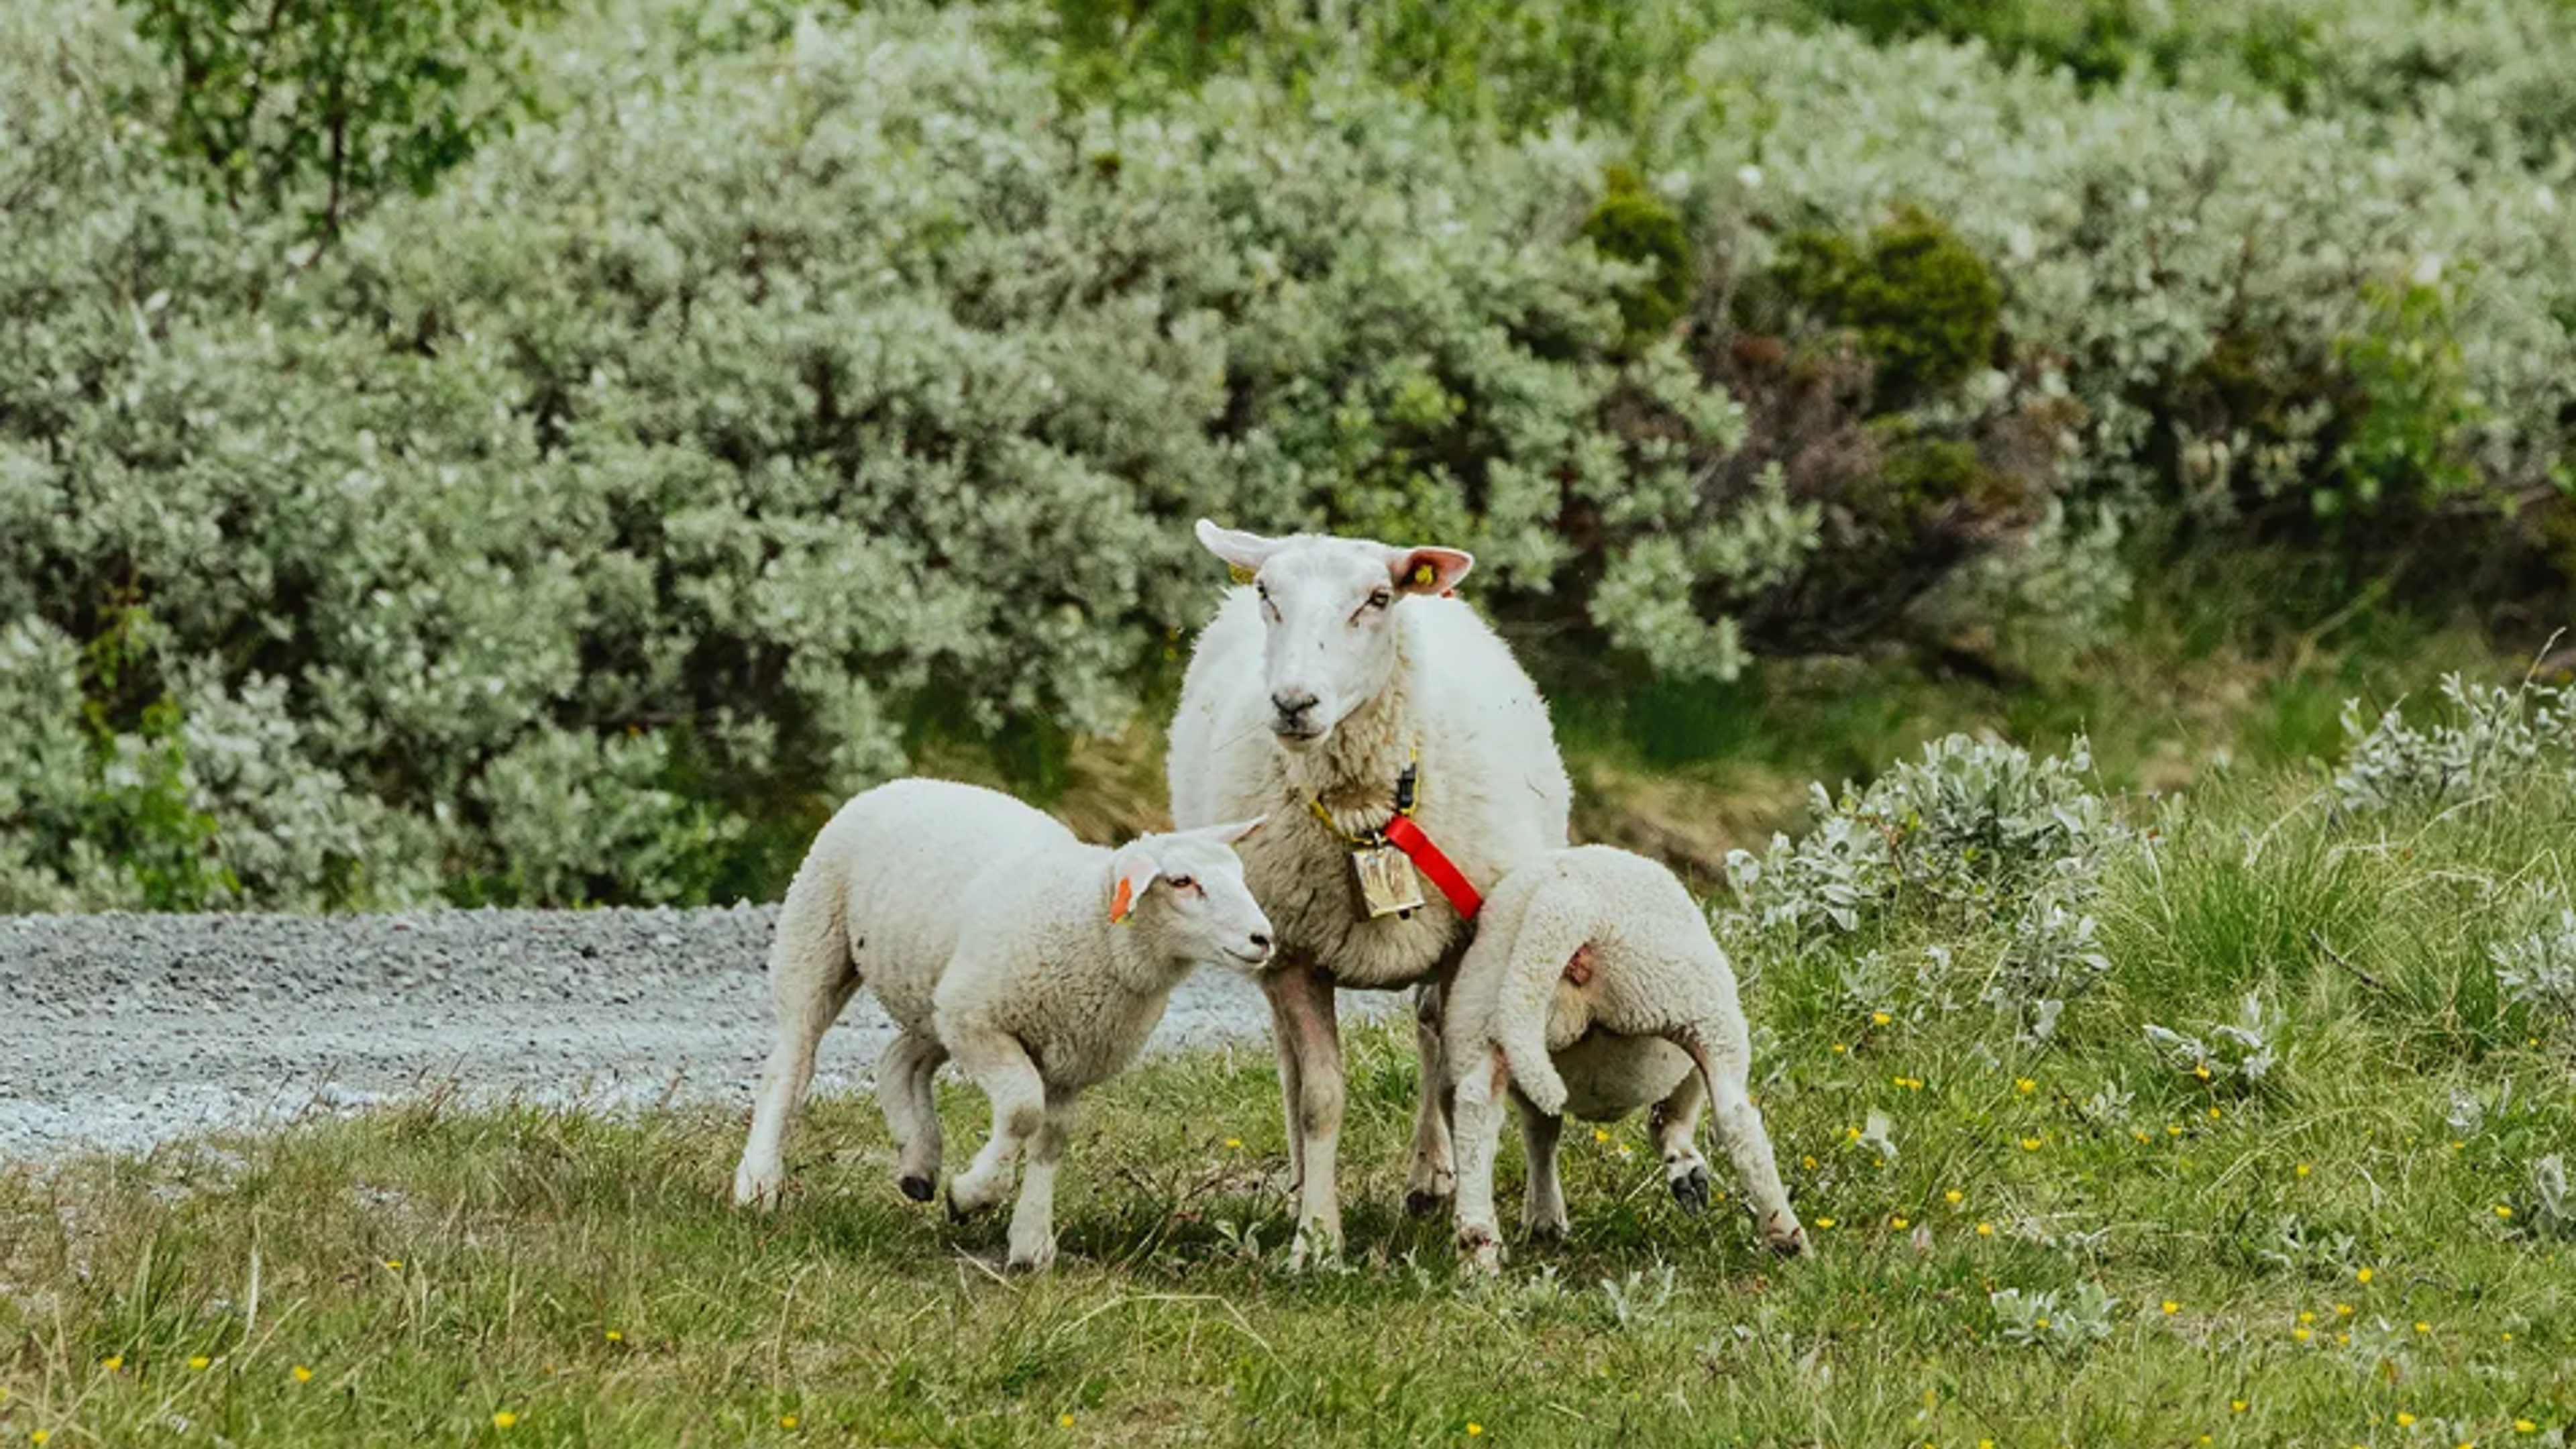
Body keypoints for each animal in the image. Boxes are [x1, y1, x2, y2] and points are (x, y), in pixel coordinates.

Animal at [731, 778, 1271, 1271]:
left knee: (898, 1060)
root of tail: (906, 781)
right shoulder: (982, 1024)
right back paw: (758, 1182)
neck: (1090, 927)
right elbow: (1022, 1111)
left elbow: (1051, 1139)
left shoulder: (1071, 1057)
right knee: (791, 1063)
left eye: (1242, 875)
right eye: (1182, 882)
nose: (1263, 938)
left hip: (937, 995)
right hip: (818, 937)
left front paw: (1032, 1242)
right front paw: (972, 1195)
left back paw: (919, 1162)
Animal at [1167, 519, 1572, 1264]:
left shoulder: (1468, 938)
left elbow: (1465, 1080)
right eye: (1267, 593)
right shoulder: (1296, 956)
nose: (1293, 703)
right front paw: (1316, 1240)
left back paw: (1439, 1177)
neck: (1365, 816)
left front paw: (1474, 1229)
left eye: (1378, 599)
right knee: (1292, 1069)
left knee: (1433, 1036)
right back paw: (1308, 1187)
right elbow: (1320, 1097)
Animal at [1441, 845, 1805, 1271]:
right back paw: (1786, 1236)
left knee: (1476, 1108)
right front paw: (1685, 1164)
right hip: (1693, 1000)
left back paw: (1478, 1248)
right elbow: (1673, 1117)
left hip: (1487, 1013)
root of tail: (1562, 900)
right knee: (1737, 1119)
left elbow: (1542, 1129)